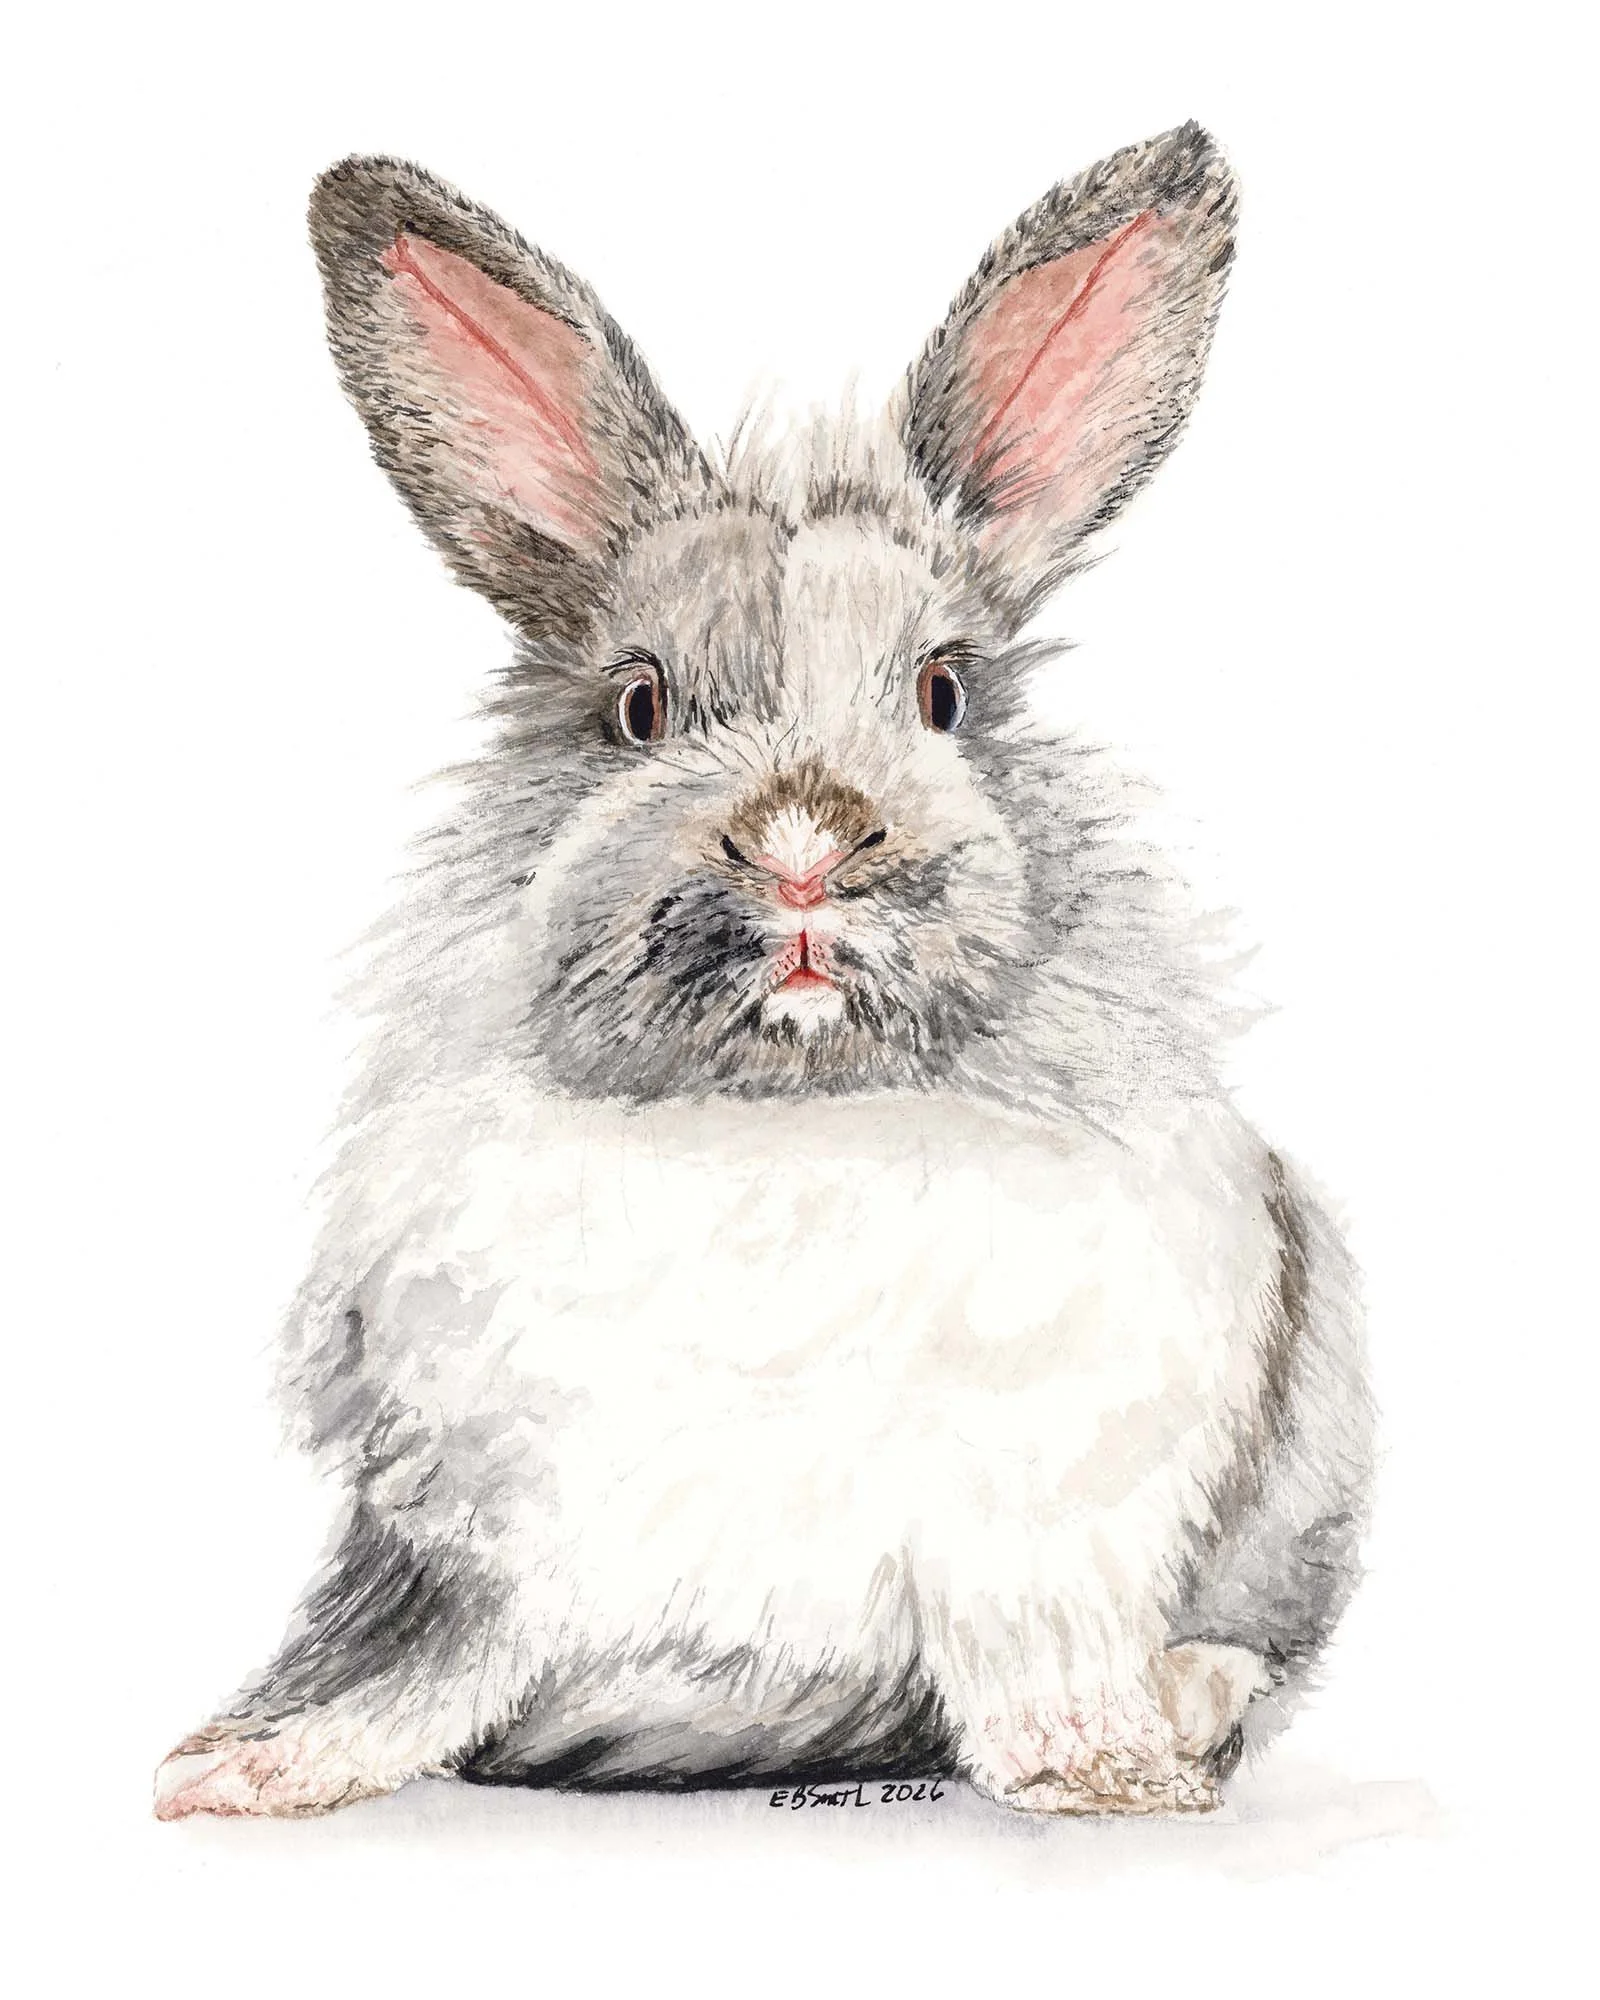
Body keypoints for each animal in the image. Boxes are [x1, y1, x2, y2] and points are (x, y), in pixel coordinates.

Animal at [155, 121, 1372, 1822]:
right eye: (641, 707)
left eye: (943, 692)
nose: (805, 842)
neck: (784, 1113)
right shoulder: (469, 1529)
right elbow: (411, 1661)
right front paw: (249, 1770)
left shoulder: (1042, 1518)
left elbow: (1034, 1648)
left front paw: (1104, 1773)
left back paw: (1190, 1701)